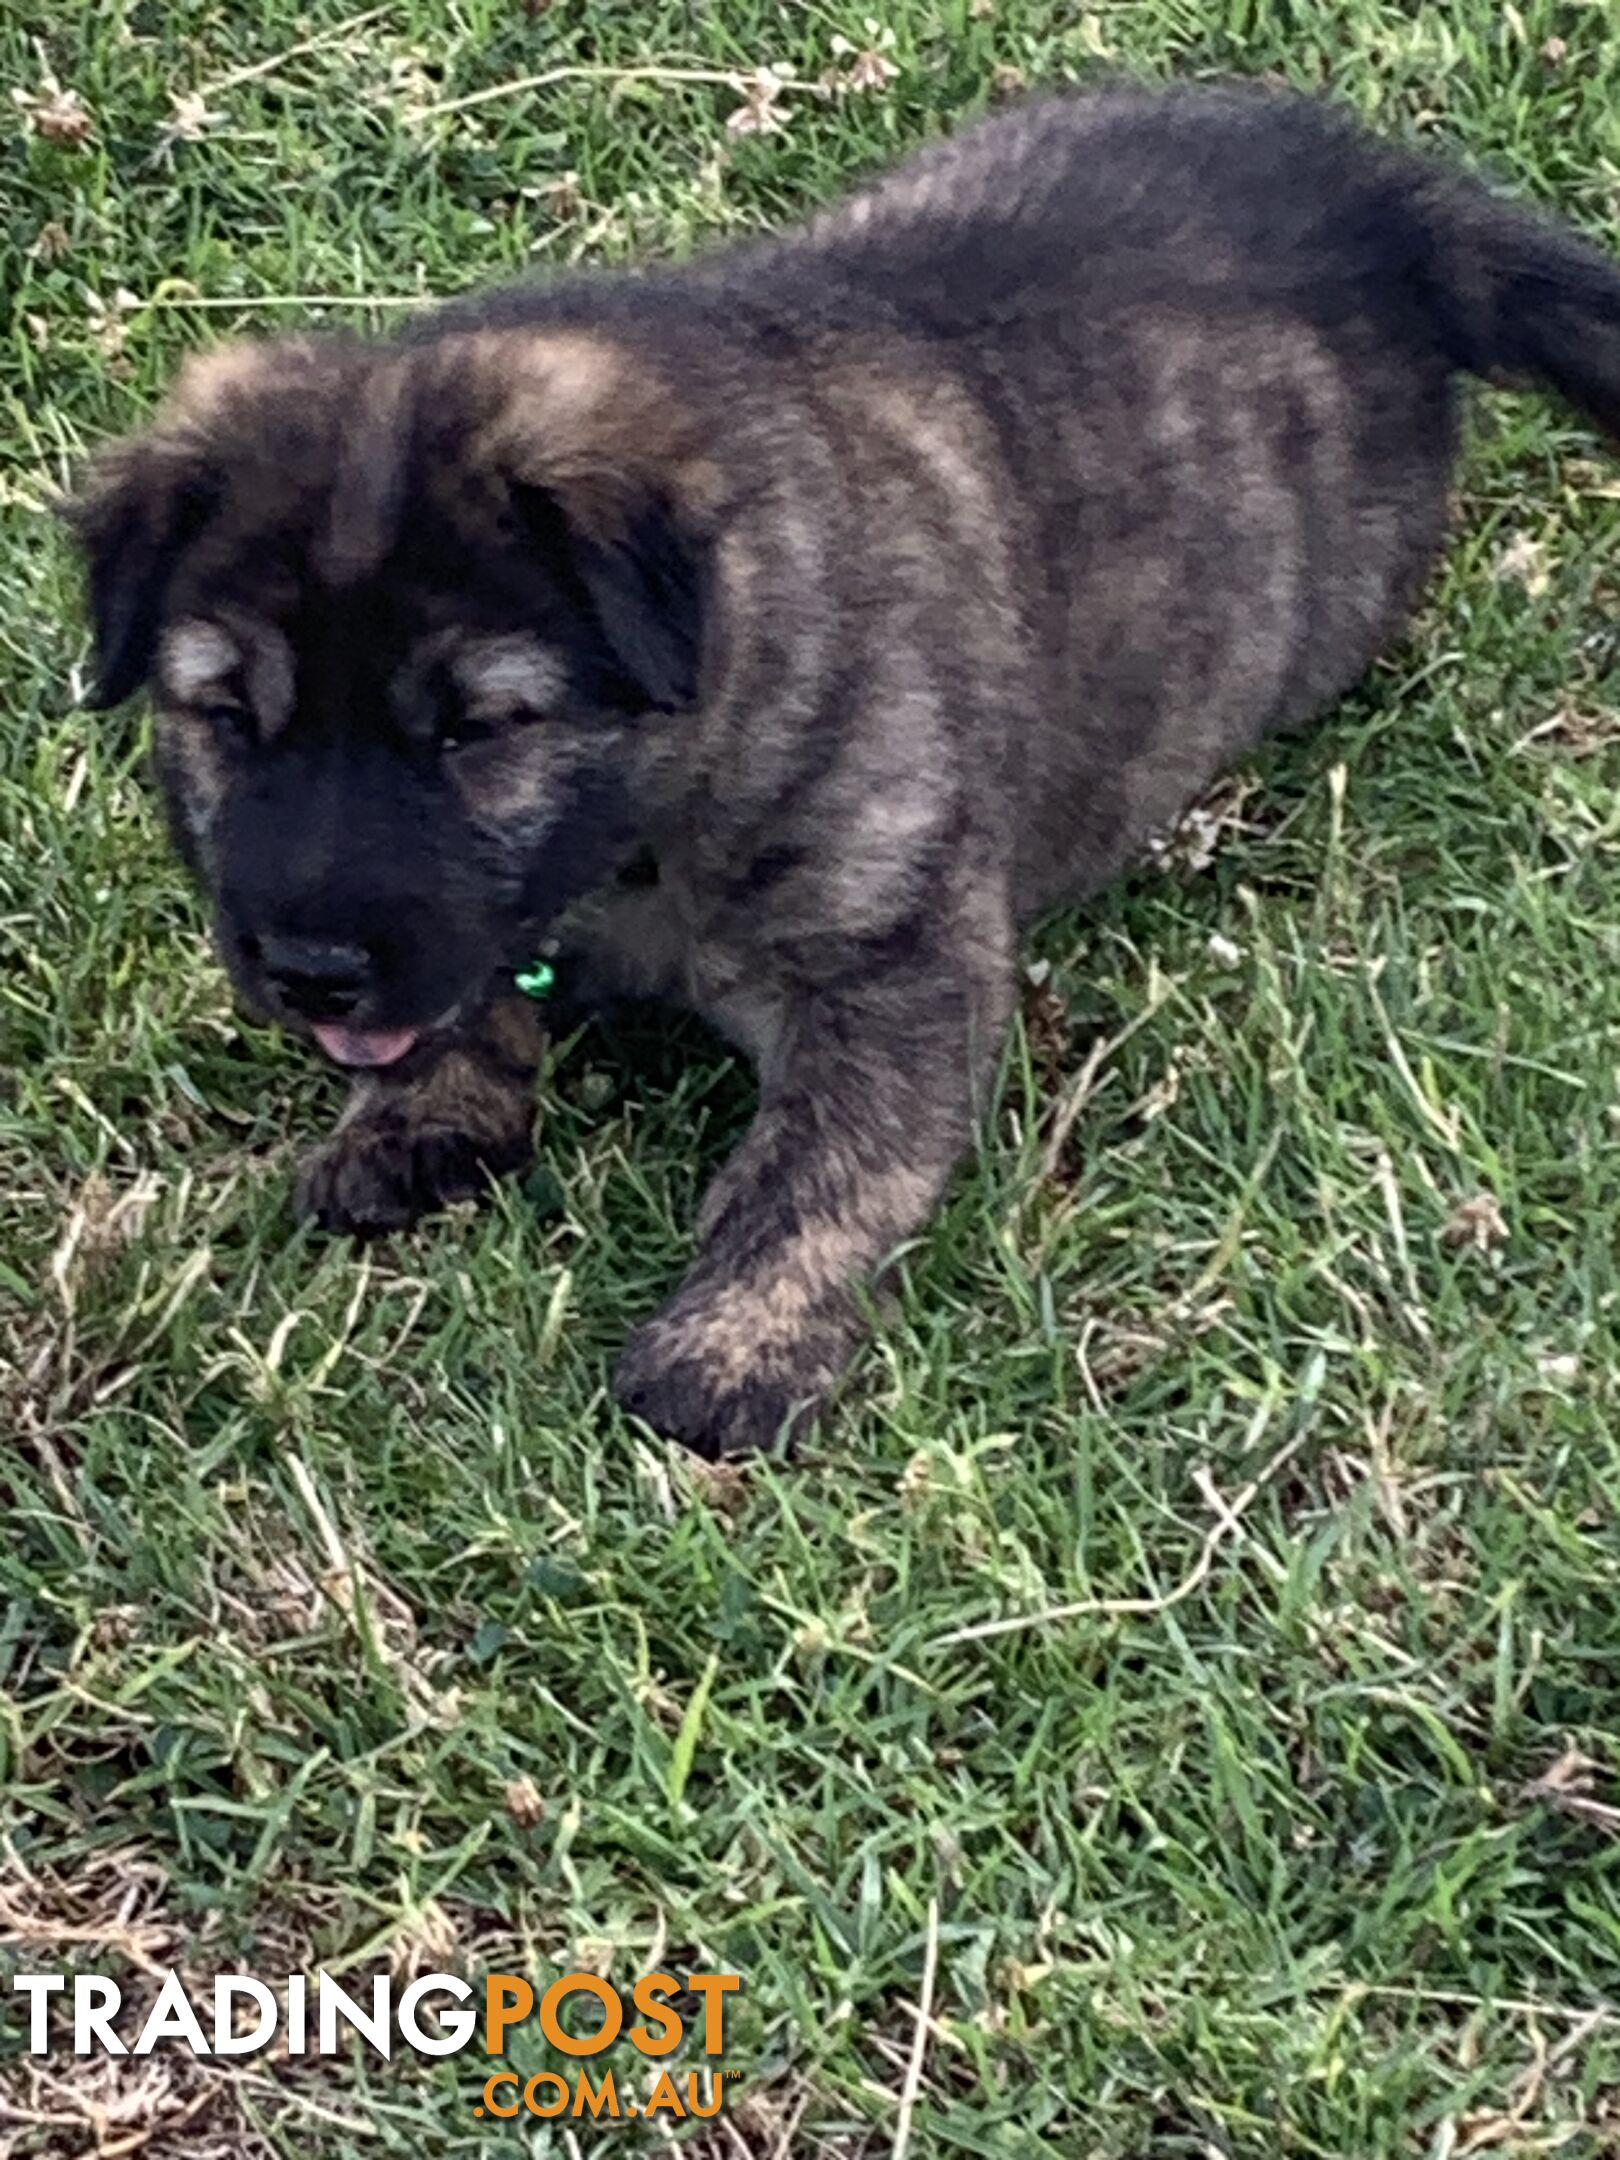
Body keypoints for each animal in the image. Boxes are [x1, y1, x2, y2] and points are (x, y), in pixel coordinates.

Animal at [69, 92, 1620, 1460]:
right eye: (227, 715)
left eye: (475, 730)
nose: (310, 973)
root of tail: (1389, 198)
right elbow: (468, 997)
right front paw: (419, 1113)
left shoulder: (895, 958)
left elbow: (819, 1167)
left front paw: (731, 1350)